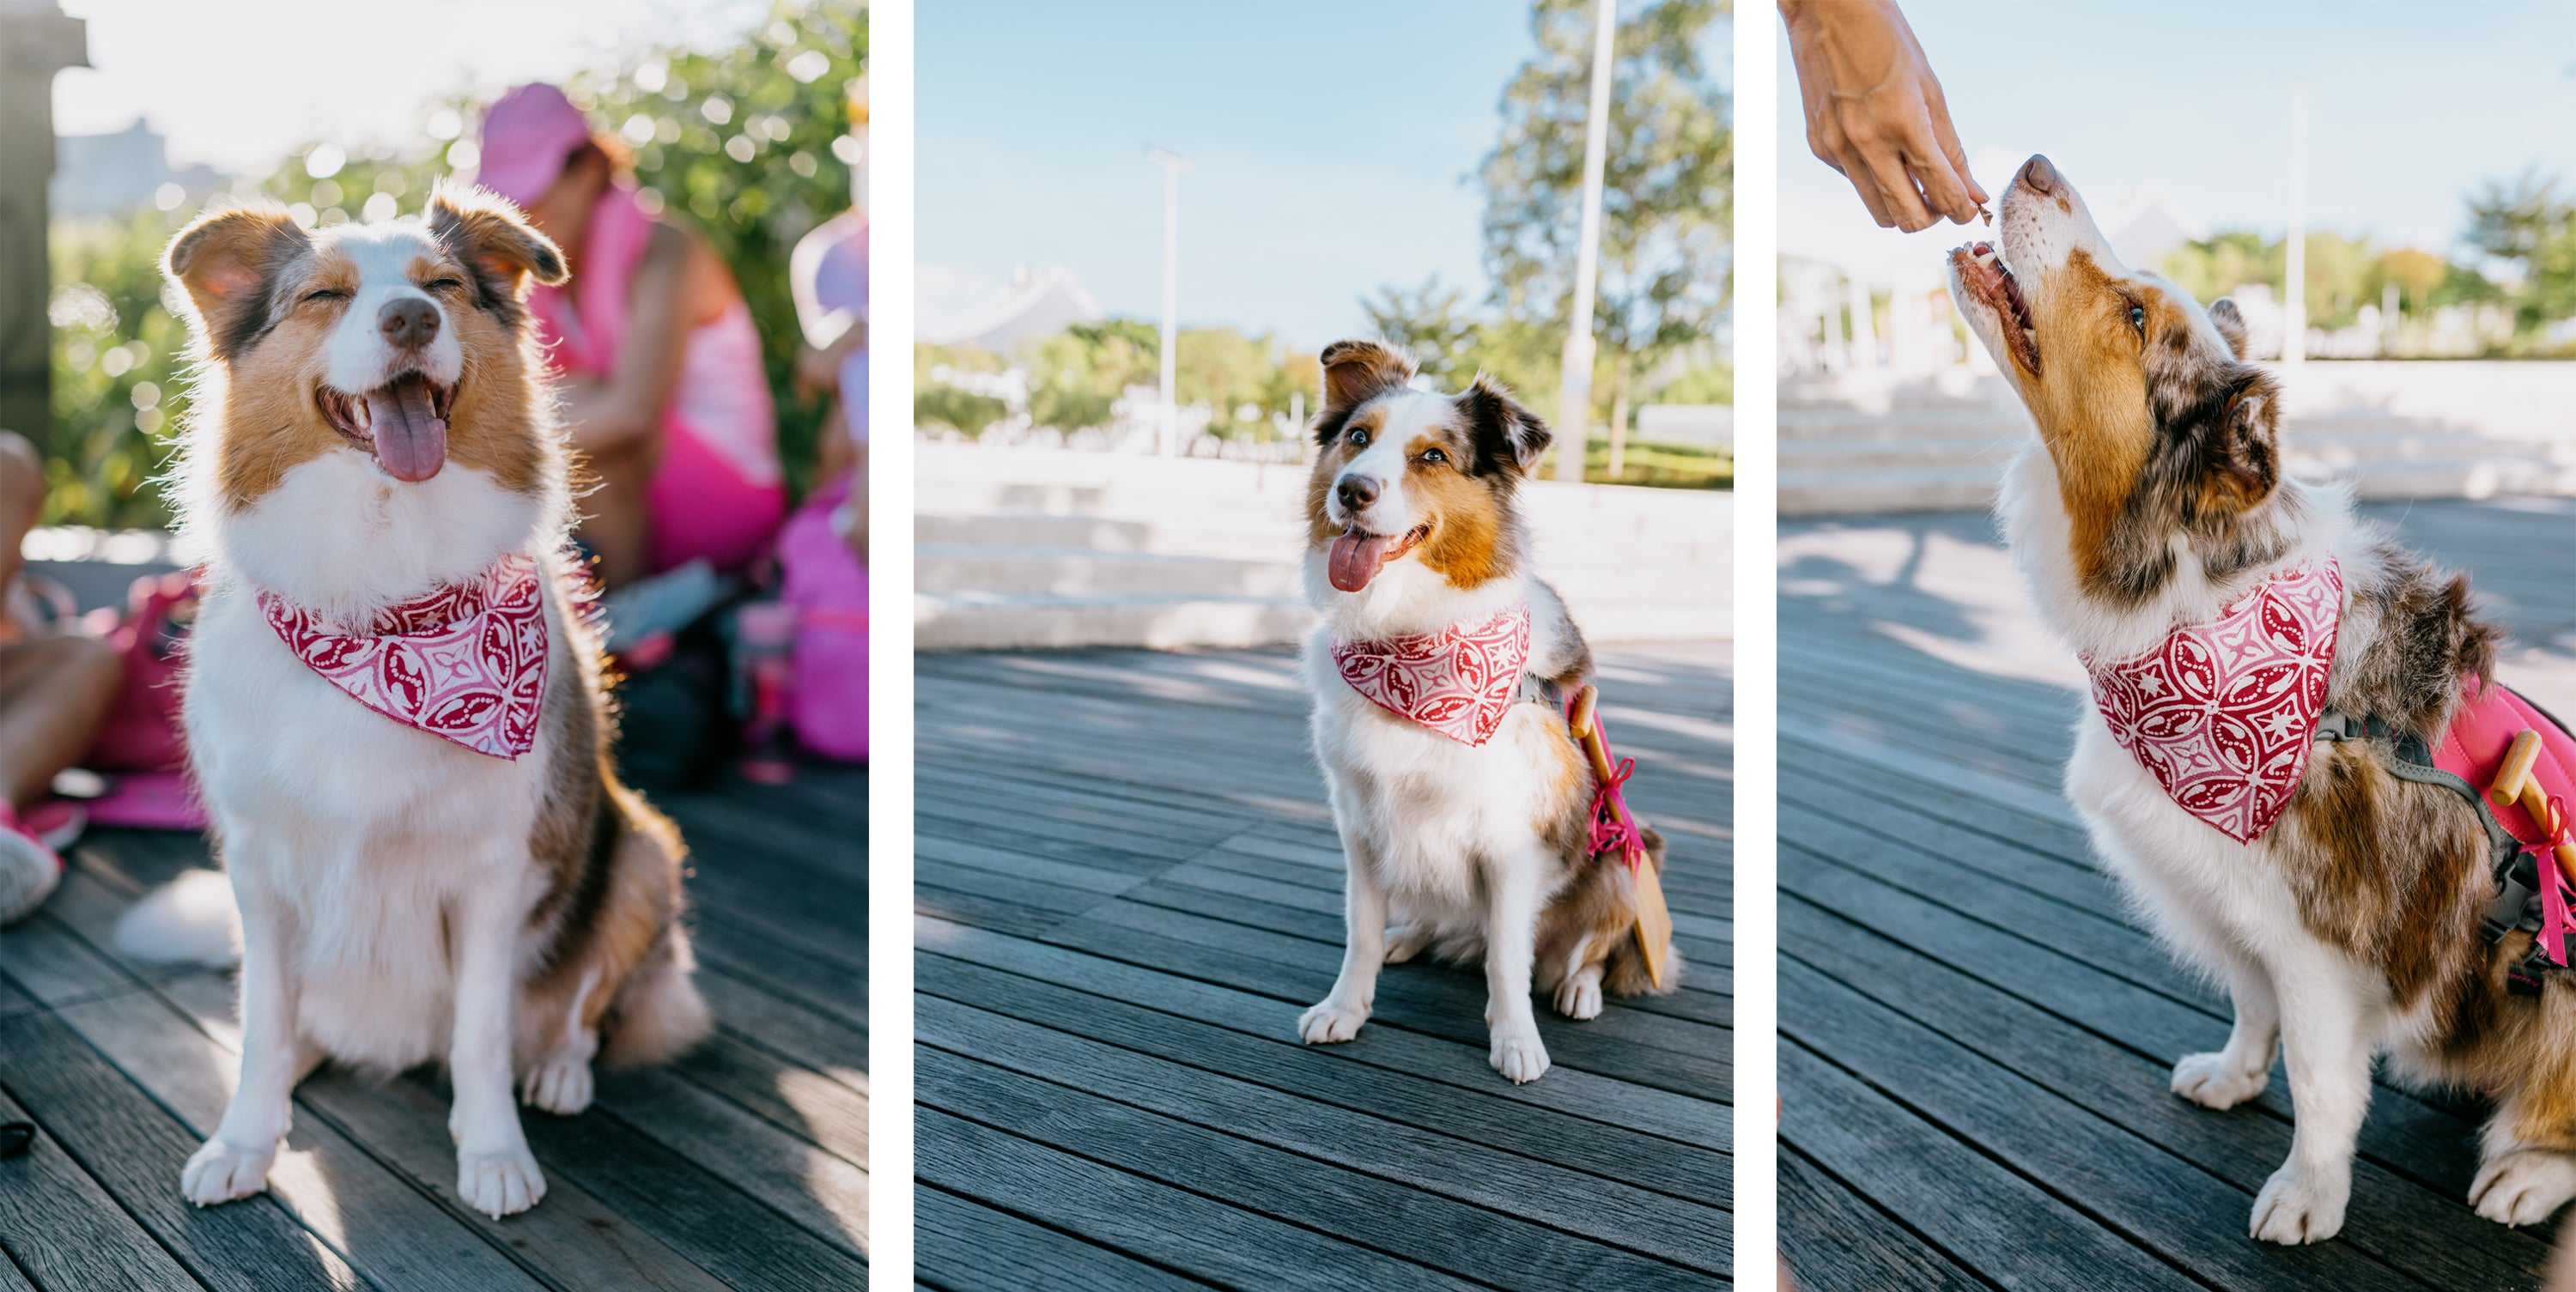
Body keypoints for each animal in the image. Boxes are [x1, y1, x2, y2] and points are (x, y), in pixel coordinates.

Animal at [126, 184, 711, 1220]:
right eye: (324, 295)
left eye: (442, 286)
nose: (410, 320)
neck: (387, 592)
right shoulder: (258, 863)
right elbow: (264, 1023)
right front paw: (243, 1140)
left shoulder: (492, 870)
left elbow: (481, 1035)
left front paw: (495, 1153)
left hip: (642, 849)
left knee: (586, 1007)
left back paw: (559, 1071)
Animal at [1298, 337, 1680, 1086]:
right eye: (1358, 438)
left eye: (1432, 456)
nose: (1353, 489)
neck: (1408, 640)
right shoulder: (1360, 823)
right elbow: (1360, 930)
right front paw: (1345, 1008)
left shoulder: (1510, 839)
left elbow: (1508, 957)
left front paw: (1516, 1041)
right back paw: (1411, 935)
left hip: (1627, 846)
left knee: (1586, 950)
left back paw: (1578, 988)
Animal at [1947, 156, 2576, 1246]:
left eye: (2134, 313)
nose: (2035, 165)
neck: (2201, 607)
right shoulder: (2230, 901)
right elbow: (2251, 1002)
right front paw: (2236, 1076)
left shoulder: (2322, 939)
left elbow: (2325, 1084)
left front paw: (2307, 1193)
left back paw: (2528, 1173)